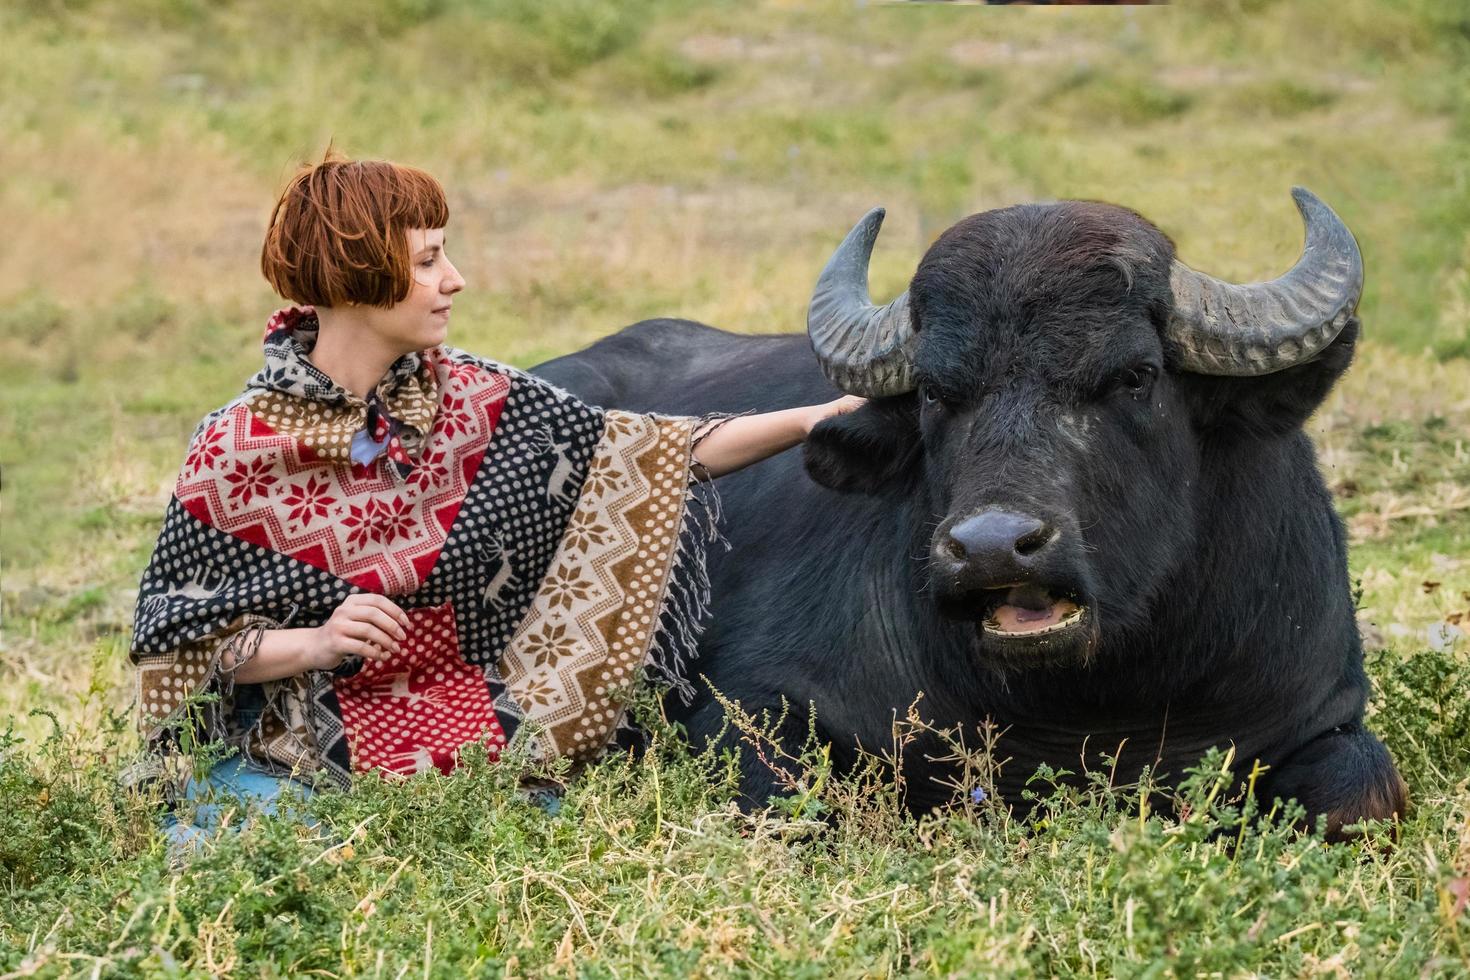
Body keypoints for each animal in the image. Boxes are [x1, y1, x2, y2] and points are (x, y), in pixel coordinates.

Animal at [535, 189, 1405, 834]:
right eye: (933, 392)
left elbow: (1367, 796)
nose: (992, 547)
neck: (1097, 709)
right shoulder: (747, 706)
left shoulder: (1324, 714)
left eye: (1137, 375)